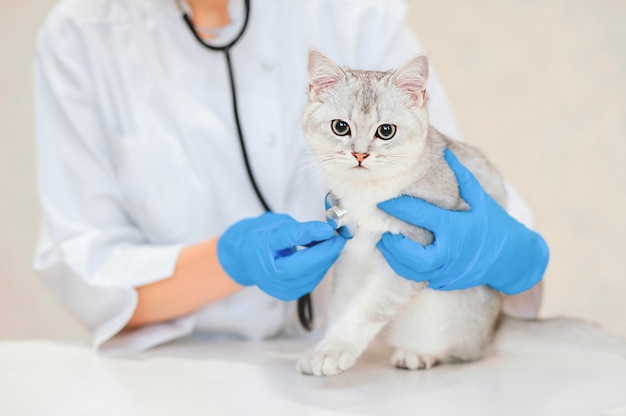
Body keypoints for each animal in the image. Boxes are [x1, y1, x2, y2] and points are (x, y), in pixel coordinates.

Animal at [296, 49, 502, 376]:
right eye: (340, 127)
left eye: (386, 131)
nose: (360, 154)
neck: (367, 194)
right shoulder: (350, 257)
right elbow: (341, 306)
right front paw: (320, 348)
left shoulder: (409, 256)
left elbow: (364, 310)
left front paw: (333, 350)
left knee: (460, 352)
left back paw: (417, 355)